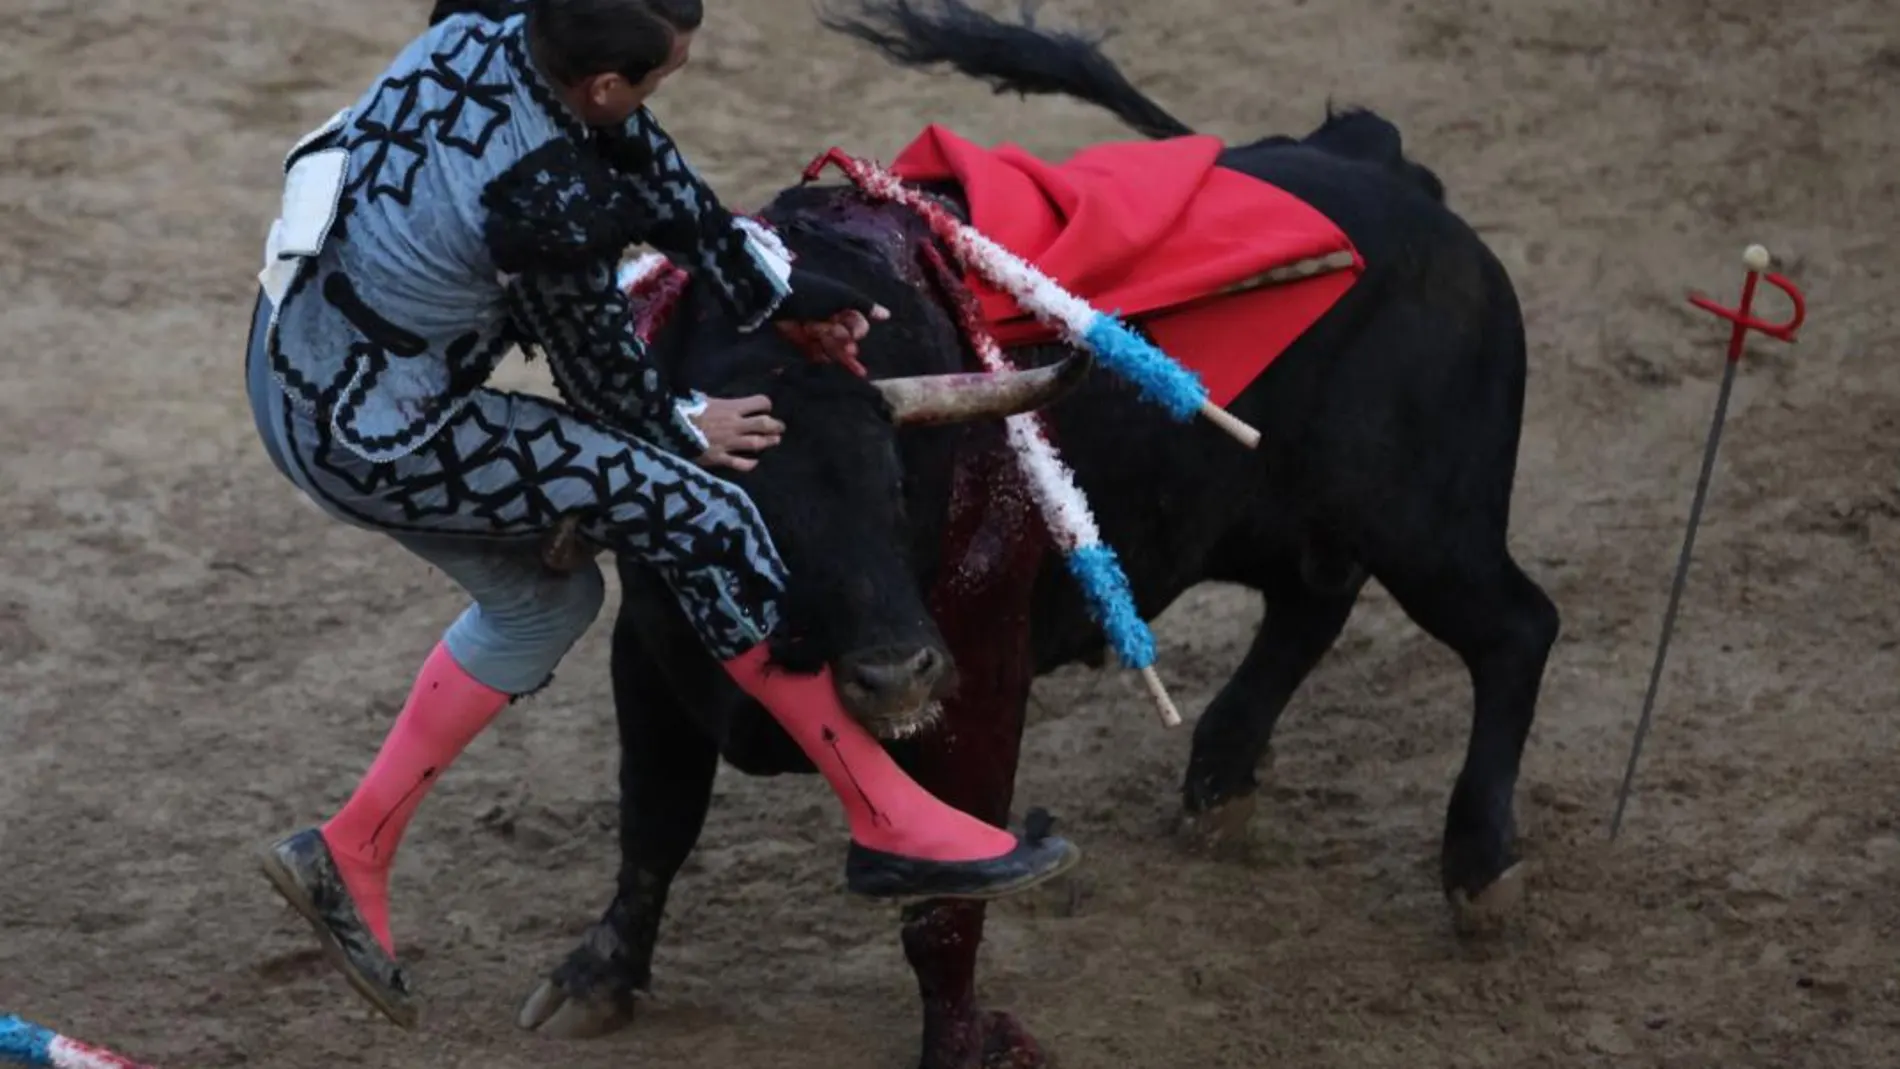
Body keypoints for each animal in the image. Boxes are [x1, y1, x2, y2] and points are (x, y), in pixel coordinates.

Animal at [516, 4, 1558, 1063]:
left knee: (1515, 628)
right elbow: (655, 821)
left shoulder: (979, 676)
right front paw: (597, 978)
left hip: (1430, 525)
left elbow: (944, 902)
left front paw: (962, 1039)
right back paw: (1221, 782)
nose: (896, 676)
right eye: (746, 519)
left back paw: (1479, 868)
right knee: (1313, 600)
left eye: (901, 485)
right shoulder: (650, 651)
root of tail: (1382, 165)